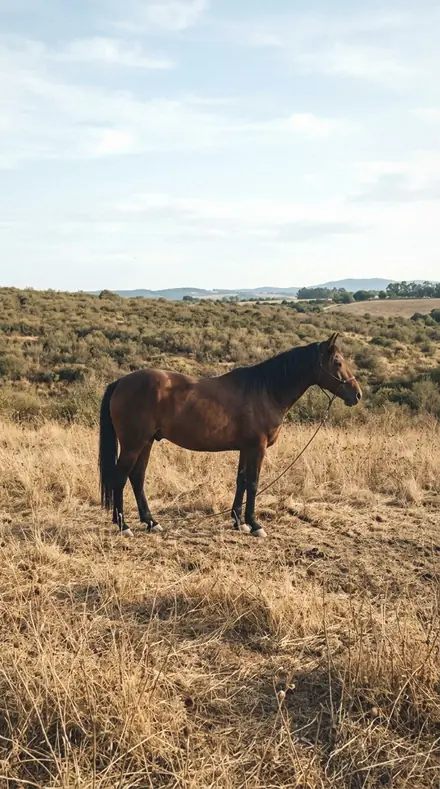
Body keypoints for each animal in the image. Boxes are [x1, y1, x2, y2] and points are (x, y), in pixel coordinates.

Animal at [99, 332, 362, 538]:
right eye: (337, 362)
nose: (357, 394)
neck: (266, 390)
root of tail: (121, 382)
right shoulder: (257, 448)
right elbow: (253, 483)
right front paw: (255, 525)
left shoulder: (246, 448)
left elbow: (241, 481)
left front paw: (238, 522)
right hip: (133, 444)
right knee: (120, 478)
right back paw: (124, 525)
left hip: (146, 443)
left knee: (137, 477)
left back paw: (151, 522)